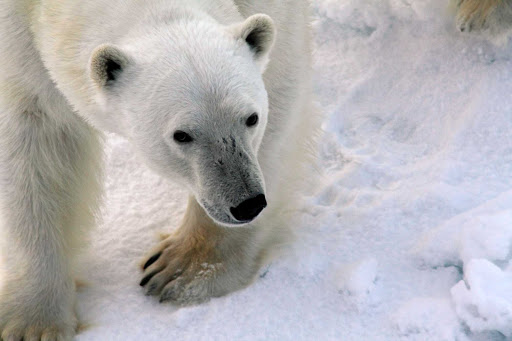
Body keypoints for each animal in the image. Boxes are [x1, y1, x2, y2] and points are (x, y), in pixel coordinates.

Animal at [0, 0, 316, 338]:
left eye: (251, 118)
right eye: (182, 135)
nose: (247, 204)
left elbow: (280, 83)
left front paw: (179, 270)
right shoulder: (18, 32)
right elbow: (35, 138)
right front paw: (33, 323)